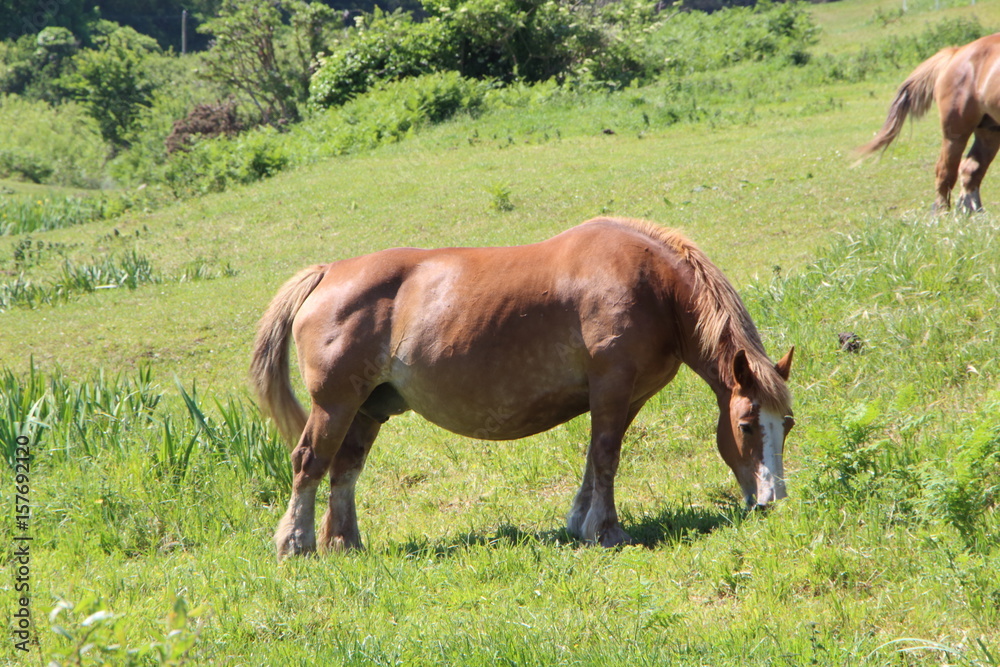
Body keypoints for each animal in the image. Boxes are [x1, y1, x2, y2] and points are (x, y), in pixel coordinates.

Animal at [250, 218, 795, 558]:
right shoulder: (612, 386)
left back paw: (345, 543)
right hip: (335, 404)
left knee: (344, 471)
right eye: (747, 424)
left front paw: (581, 523)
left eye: (786, 425)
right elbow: (606, 457)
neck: (651, 287)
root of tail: (327, 274)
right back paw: (296, 544)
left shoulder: (626, 397)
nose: (773, 501)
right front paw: (609, 531)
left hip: (367, 409)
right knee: (308, 463)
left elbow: (595, 459)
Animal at [857, 33, 1000, 212]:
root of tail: (956, 53)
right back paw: (942, 213)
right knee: (946, 171)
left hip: (989, 130)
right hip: (956, 132)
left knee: (971, 170)